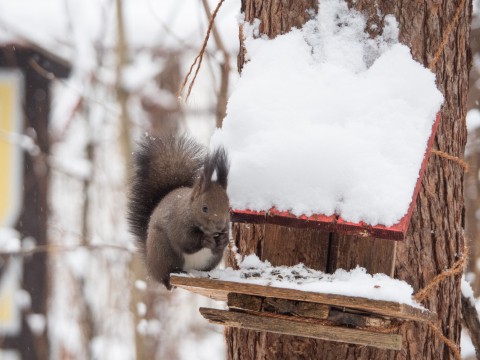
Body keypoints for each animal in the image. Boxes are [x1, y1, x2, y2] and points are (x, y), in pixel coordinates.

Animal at [127, 135, 231, 290]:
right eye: (204, 208)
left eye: (229, 207)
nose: (219, 227)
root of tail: (151, 266)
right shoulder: (178, 223)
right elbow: (185, 241)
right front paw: (205, 240)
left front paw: (223, 240)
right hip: (163, 253)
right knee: (166, 276)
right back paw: (173, 276)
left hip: (210, 261)